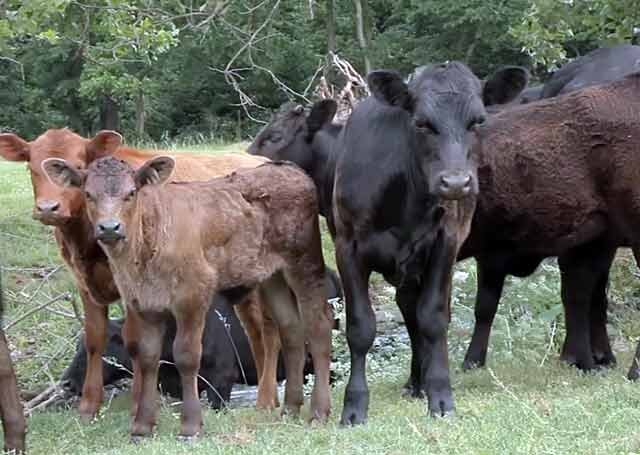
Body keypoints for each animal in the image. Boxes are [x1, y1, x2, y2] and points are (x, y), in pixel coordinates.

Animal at [0, 129, 282, 420]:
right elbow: (94, 338)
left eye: (79, 164)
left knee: (268, 332)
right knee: (256, 333)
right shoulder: (86, 285)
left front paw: (139, 403)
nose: (48, 208)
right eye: (30, 167)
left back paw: (266, 398)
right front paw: (89, 406)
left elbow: (135, 340)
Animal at [332, 60, 528, 424]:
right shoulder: (346, 246)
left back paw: (422, 380)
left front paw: (440, 396)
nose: (455, 183)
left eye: (478, 120)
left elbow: (434, 319)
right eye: (422, 123)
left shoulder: (444, 243)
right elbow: (361, 327)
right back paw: (415, 381)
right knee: (409, 316)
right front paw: (354, 407)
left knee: (420, 316)